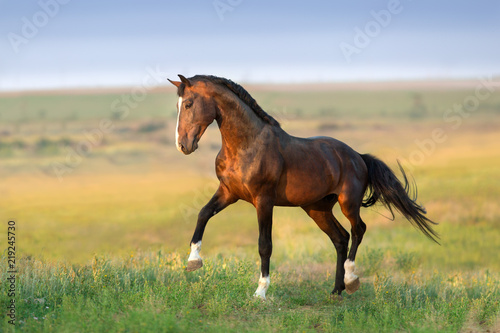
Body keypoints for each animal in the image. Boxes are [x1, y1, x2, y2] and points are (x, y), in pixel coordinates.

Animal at [168, 74, 438, 296]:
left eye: (189, 103)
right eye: (178, 105)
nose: (182, 145)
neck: (247, 145)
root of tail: (358, 156)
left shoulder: (263, 201)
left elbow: (264, 245)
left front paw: (261, 292)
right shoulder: (228, 193)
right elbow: (203, 214)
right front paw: (193, 261)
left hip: (348, 203)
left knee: (358, 230)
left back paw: (351, 280)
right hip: (317, 209)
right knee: (340, 238)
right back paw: (336, 290)